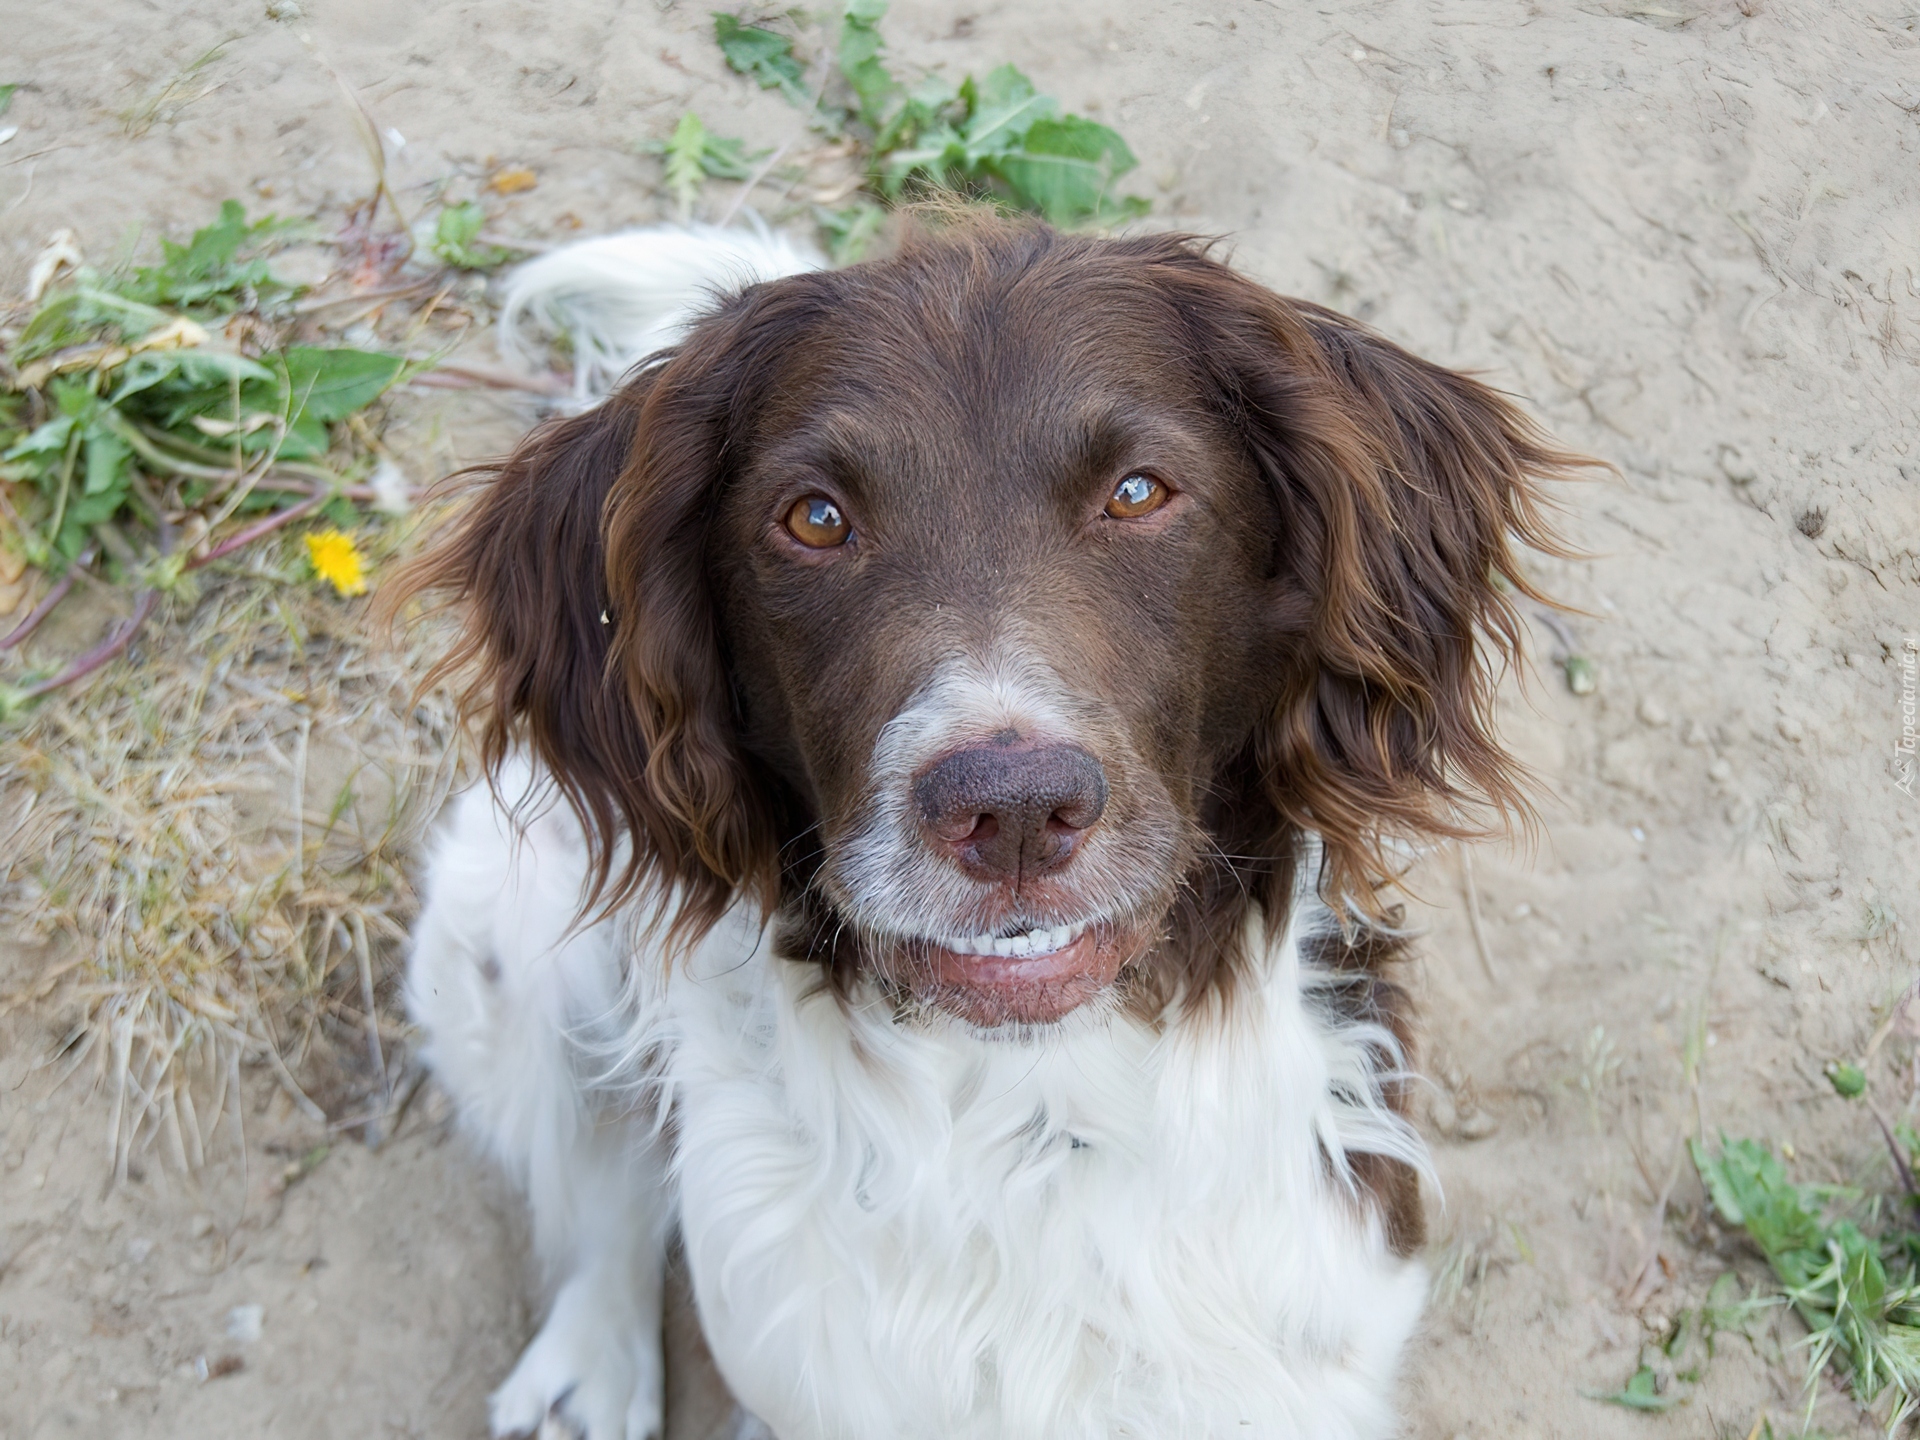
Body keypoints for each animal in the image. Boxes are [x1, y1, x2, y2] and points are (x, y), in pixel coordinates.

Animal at [393, 216, 1574, 1440]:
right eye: (815, 517)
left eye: (1139, 491)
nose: (1010, 810)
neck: (1039, 1115)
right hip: (501, 933)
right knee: (602, 1177)